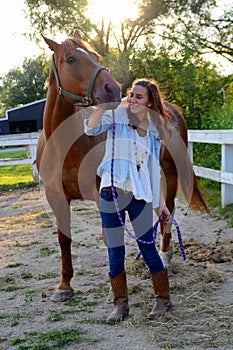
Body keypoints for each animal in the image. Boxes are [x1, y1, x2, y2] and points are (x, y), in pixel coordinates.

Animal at [36, 32, 208, 300]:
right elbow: (64, 238)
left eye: (95, 56)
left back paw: (165, 257)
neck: (65, 144)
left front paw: (112, 288)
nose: (112, 89)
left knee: (168, 212)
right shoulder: (56, 197)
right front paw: (64, 286)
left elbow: (110, 238)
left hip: (170, 173)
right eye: (71, 58)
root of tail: (169, 108)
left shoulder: (103, 195)